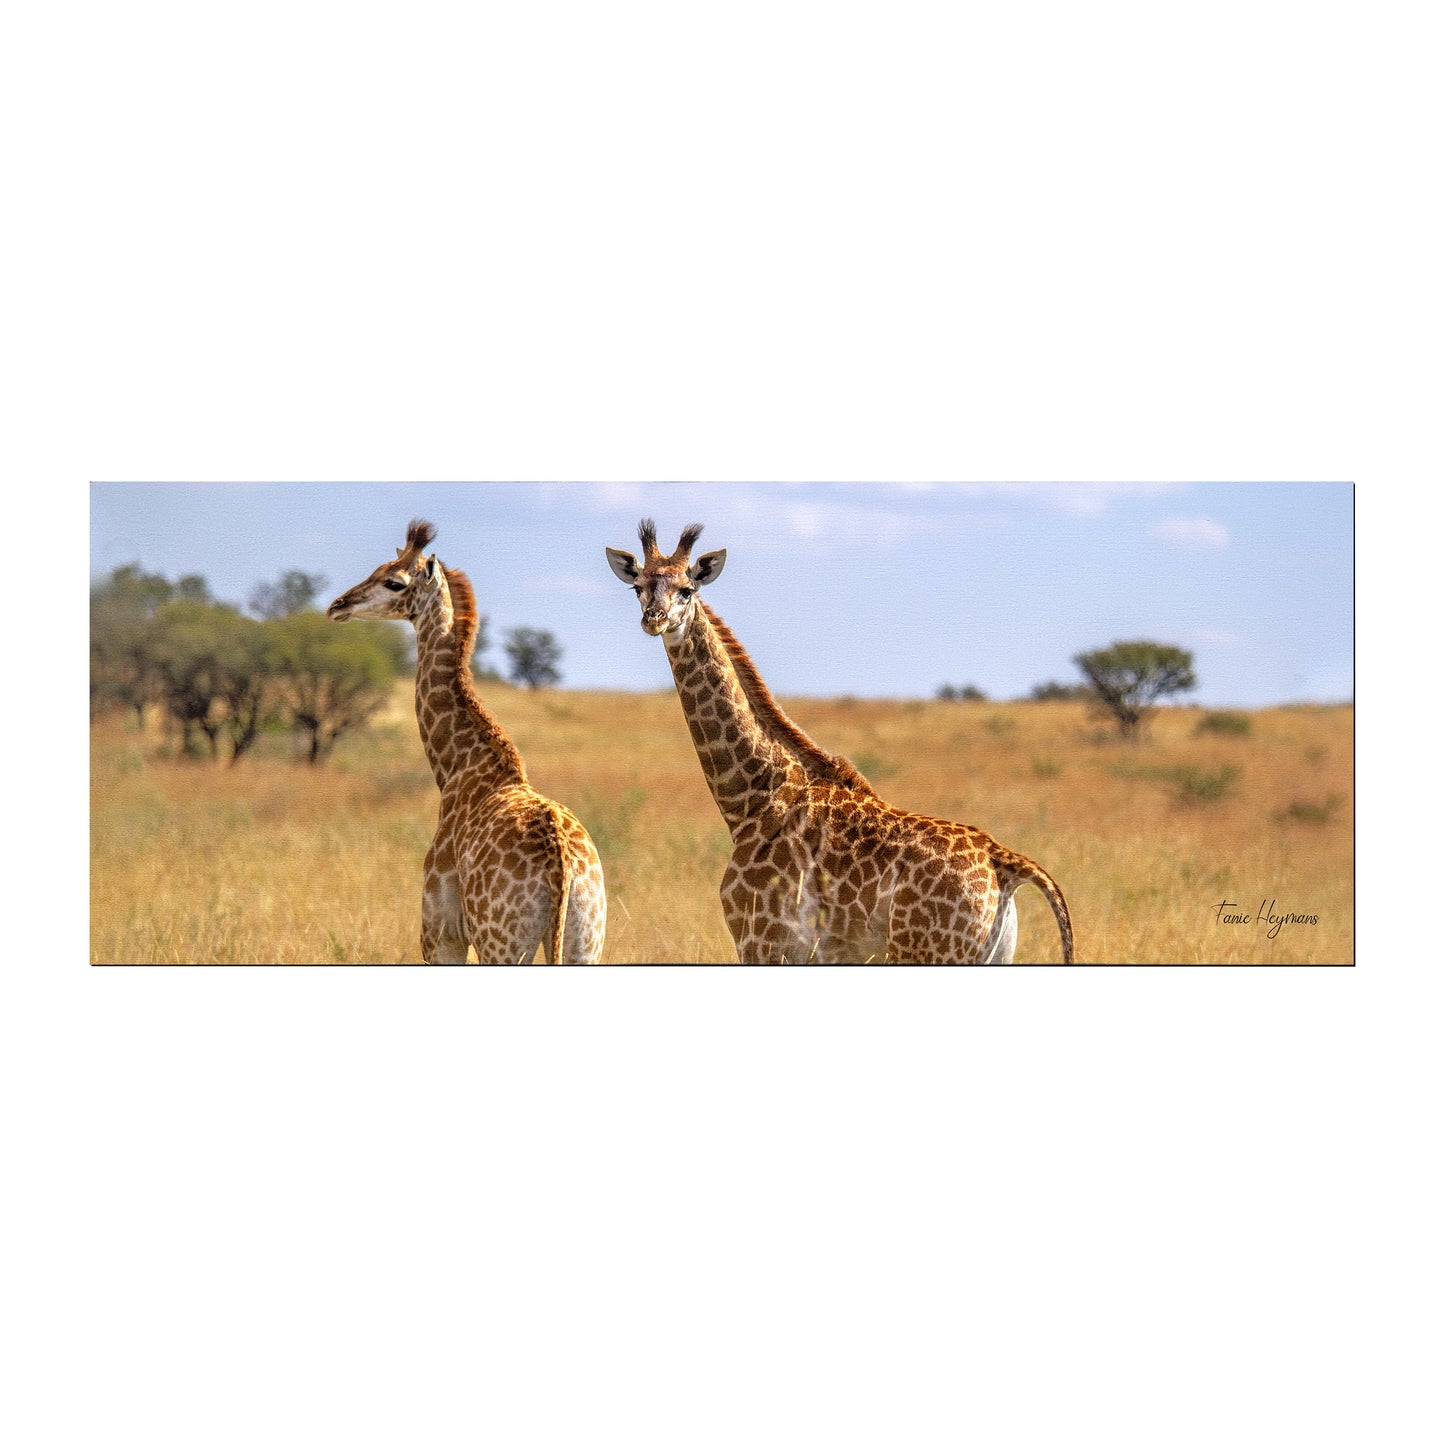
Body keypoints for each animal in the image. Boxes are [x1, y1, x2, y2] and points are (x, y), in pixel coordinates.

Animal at [328, 520, 606, 964]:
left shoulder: (441, 934)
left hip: (503, 943)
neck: (458, 767)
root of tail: (562, 866)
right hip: (586, 940)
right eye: (377, 568)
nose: (338, 605)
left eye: (393, 581)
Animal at [605, 520, 1075, 964]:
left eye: (687, 590)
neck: (752, 799)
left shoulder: (761, 941)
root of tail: (1003, 861)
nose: (654, 618)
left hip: (927, 953)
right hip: (991, 955)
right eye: (638, 586)